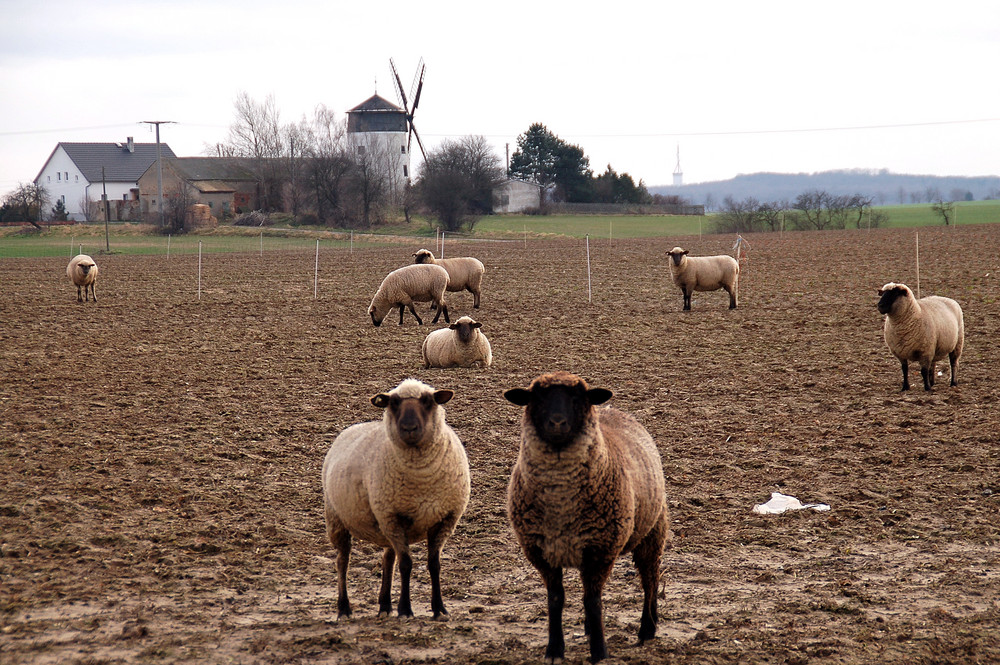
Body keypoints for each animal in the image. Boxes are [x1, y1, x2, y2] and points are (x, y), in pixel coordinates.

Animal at [324, 378, 472, 616]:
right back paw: (344, 608)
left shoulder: (445, 519)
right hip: (337, 519)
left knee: (387, 559)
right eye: (393, 403)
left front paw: (439, 608)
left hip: (384, 525)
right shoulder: (394, 517)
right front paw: (405, 609)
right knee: (342, 561)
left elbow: (434, 564)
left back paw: (384, 605)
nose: (409, 428)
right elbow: (406, 564)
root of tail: (352, 428)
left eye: (428, 401)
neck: (422, 478)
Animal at [504, 370, 668, 660]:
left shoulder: (600, 549)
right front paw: (554, 649)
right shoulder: (542, 552)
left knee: (650, 579)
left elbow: (593, 601)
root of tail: (611, 409)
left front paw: (599, 652)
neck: (560, 500)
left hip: (652, 532)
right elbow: (556, 599)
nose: (557, 423)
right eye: (538, 397)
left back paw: (647, 628)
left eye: (576, 397)